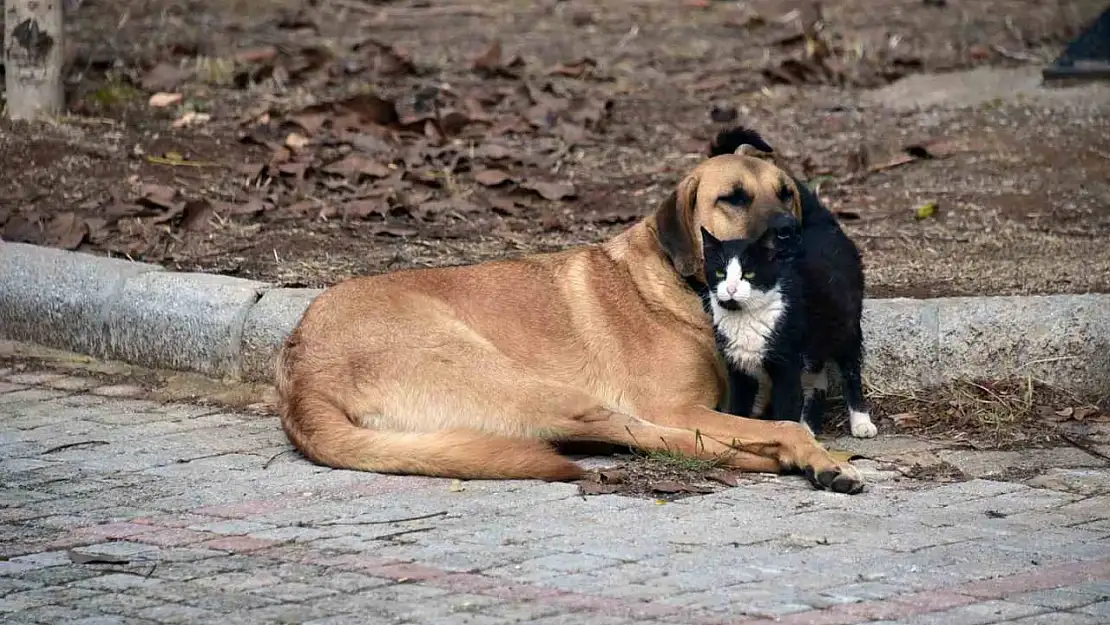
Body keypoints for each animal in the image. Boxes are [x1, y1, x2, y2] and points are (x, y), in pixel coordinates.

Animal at [701, 215, 874, 439]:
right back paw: (808, 427)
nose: (731, 289)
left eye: (749, 274)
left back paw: (861, 421)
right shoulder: (738, 370)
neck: (745, 318)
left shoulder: (786, 367)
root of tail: (827, 226)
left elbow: (787, 408)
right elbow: (738, 409)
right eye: (721, 272)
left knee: (851, 371)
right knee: (817, 379)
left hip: (846, 329)